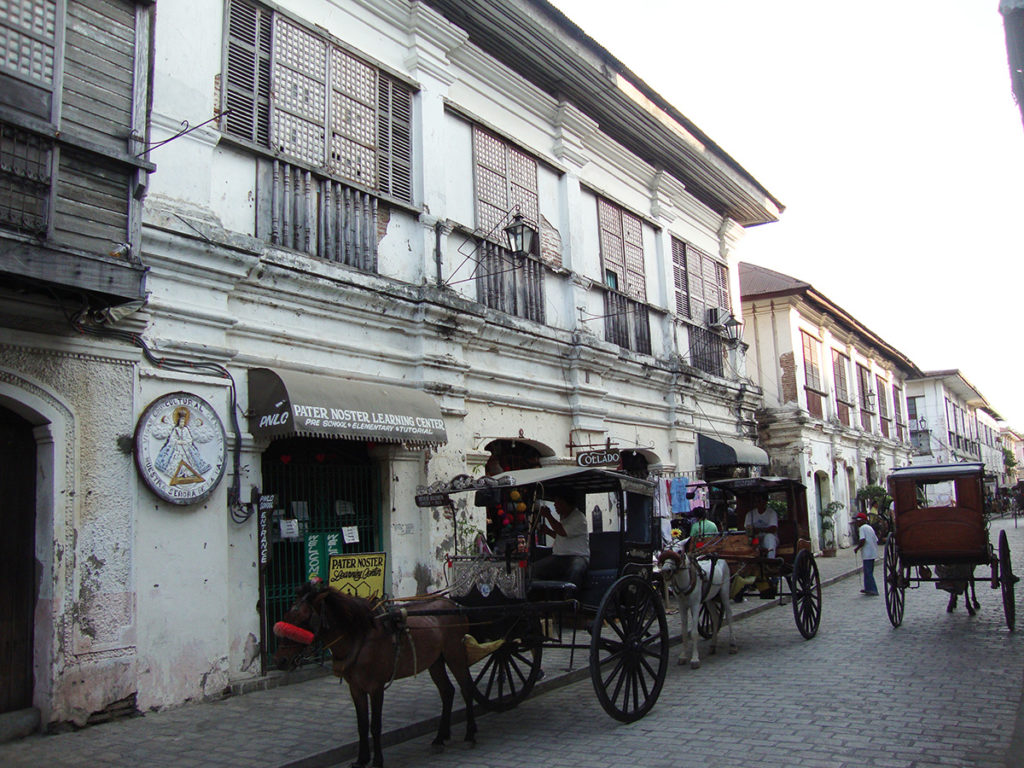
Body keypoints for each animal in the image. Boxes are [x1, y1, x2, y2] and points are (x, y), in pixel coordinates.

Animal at [274, 581, 477, 768]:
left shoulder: (376, 687)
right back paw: (440, 738)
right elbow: (362, 724)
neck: (358, 637)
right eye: (286, 615)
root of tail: (452, 604)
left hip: (455, 654)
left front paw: (378, 761)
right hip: (435, 661)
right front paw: (361, 760)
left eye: (303, 619)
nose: (280, 661)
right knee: (447, 691)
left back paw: (470, 735)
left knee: (467, 688)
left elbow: (375, 725)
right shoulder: (356, 688)